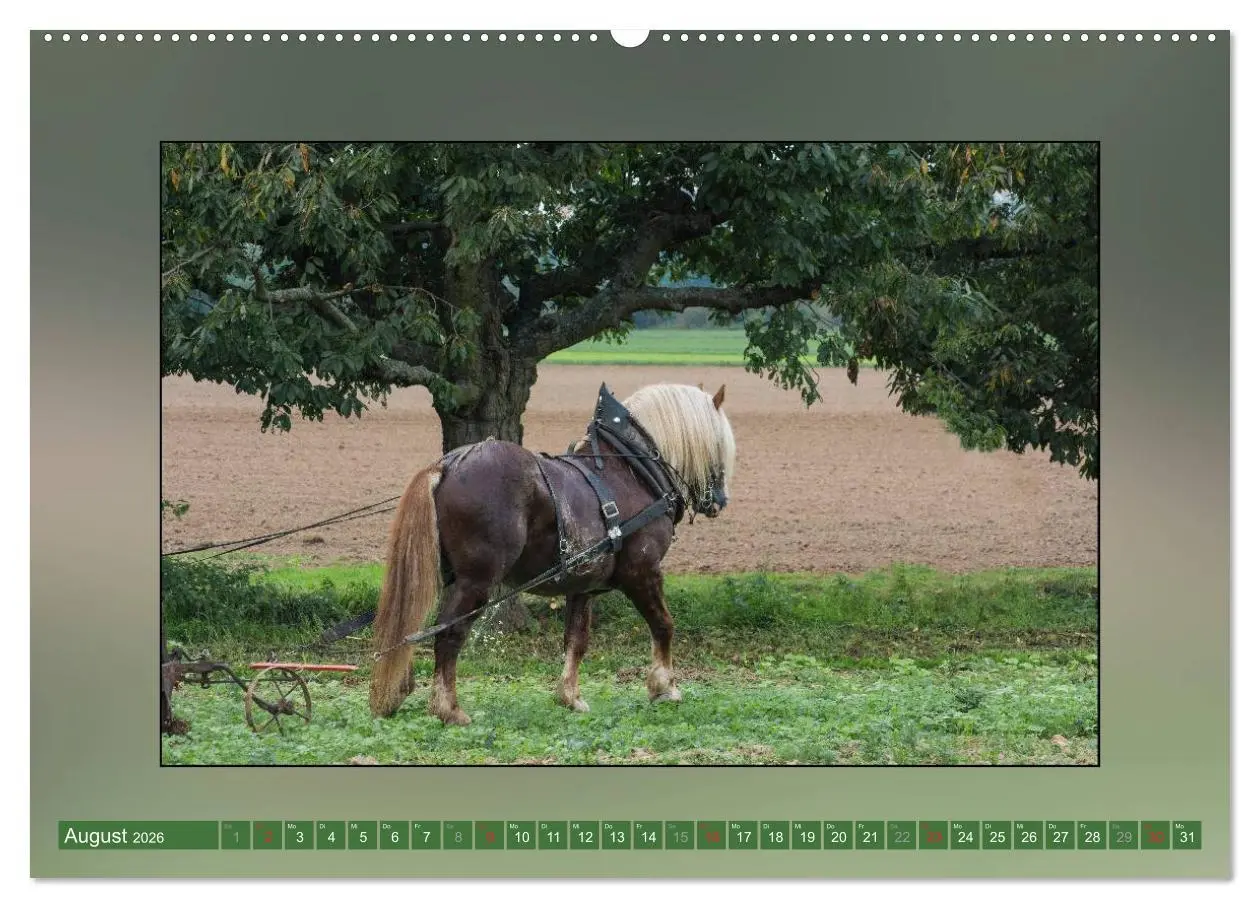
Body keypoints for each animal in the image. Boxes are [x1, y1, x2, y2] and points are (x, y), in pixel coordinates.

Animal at [368, 381, 735, 725]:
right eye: (720, 443)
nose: (720, 501)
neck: (632, 470)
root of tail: (449, 463)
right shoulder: (643, 573)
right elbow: (663, 625)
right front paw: (664, 687)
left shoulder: (583, 587)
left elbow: (577, 639)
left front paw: (570, 697)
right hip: (475, 582)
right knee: (448, 633)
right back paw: (448, 709)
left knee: (414, 628)